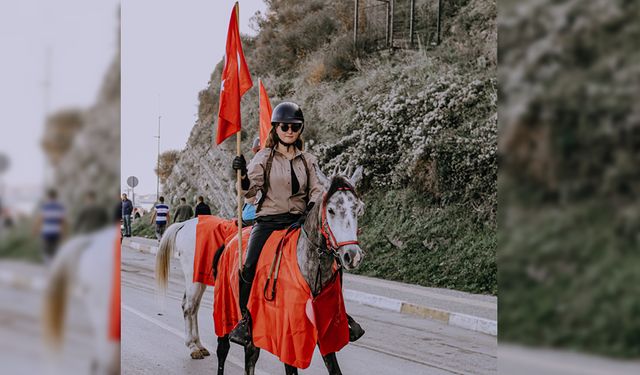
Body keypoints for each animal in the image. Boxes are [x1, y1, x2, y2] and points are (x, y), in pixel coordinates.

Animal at [156, 168, 364, 375]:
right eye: (331, 210)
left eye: (358, 208)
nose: (352, 255)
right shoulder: (287, 334)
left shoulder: (325, 330)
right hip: (204, 286)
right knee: (195, 314)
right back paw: (194, 347)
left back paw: (198, 344)